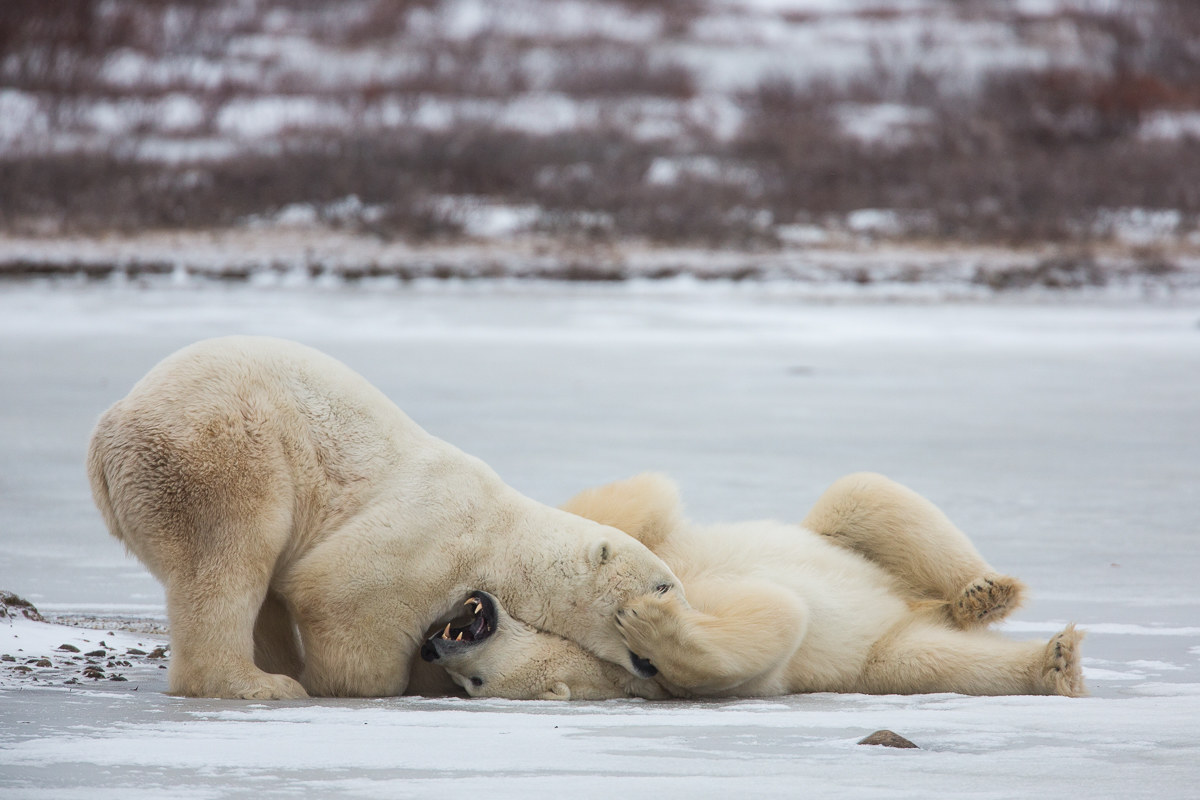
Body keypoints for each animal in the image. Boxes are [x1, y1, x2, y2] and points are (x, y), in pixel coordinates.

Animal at [86, 336, 680, 699]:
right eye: (664, 586)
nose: (665, 653)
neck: (506, 538)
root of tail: (107, 430)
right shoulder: (431, 533)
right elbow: (338, 595)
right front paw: (343, 681)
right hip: (221, 451)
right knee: (229, 558)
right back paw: (261, 683)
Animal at [422, 473, 1086, 700]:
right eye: (473, 685)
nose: (432, 647)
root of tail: (907, 605)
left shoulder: (665, 543)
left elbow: (632, 508)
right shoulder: (676, 682)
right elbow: (772, 620)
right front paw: (648, 623)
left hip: (850, 541)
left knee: (864, 496)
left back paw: (984, 594)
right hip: (882, 655)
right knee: (937, 662)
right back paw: (1052, 662)